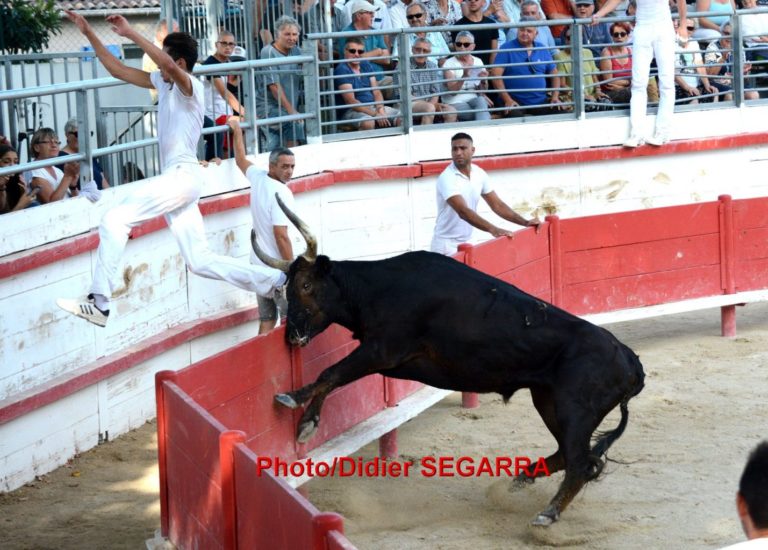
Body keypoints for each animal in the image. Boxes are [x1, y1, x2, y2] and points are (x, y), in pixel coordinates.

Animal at [255, 196, 644, 528]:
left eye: (306, 285)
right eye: (286, 288)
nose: (293, 335)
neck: (378, 287)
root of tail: (630, 362)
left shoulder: (382, 350)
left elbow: (330, 372)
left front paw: (299, 412)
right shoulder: (384, 358)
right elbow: (334, 375)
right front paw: (304, 415)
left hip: (573, 410)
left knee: (580, 462)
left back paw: (547, 514)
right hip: (548, 400)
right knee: (568, 453)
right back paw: (520, 479)